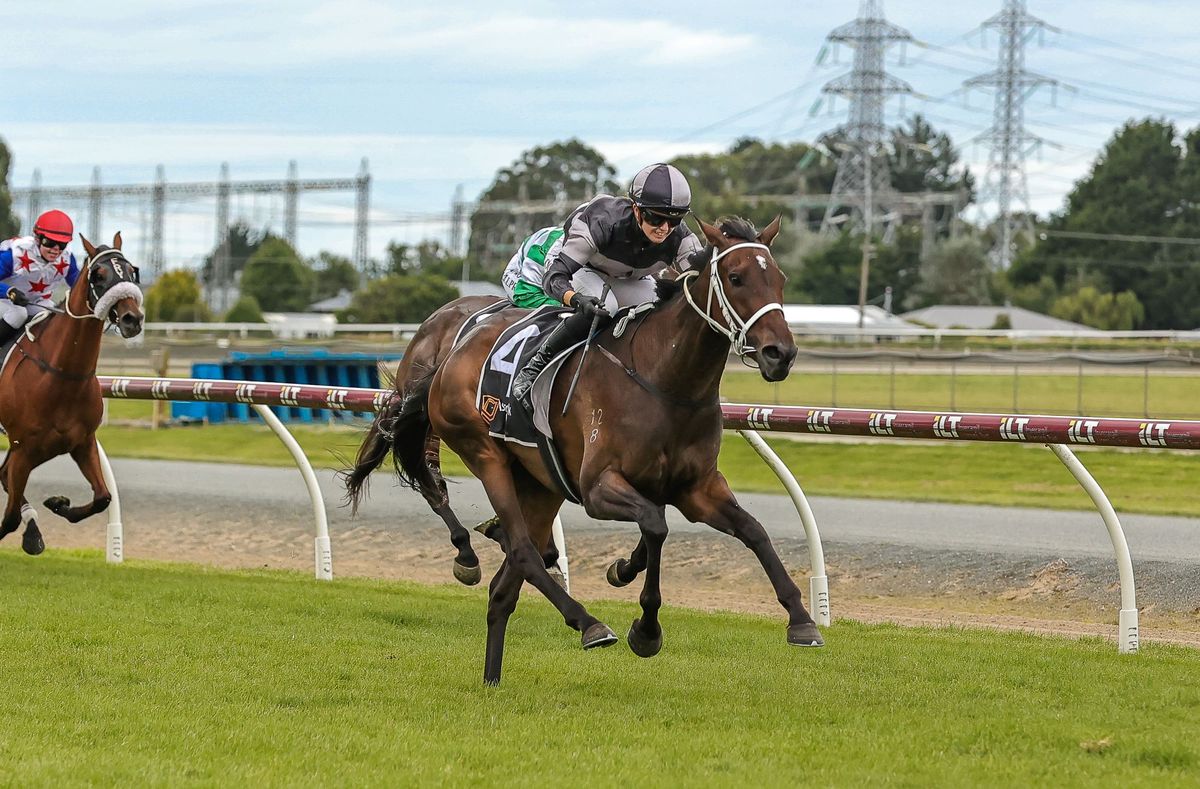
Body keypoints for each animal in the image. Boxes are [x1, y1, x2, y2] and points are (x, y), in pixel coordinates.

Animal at [0, 233, 144, 553]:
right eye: (98, 275)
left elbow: (103, 497)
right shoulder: (23, 449)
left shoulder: (82, 442)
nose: (132, 319)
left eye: (132, 271)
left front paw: (58, 503)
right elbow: (10, 517)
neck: (62, 375)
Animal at [348, 214, 825, 681]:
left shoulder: (697, 488)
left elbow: (753, 531)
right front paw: (646, 630)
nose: (780, 353)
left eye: (779, 278)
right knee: (519, 548)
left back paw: (493, 678)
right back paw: (587, 622)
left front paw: (802, 620)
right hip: (485, 455)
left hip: (541, 482)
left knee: (507, 583)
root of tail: (450, 357)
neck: (665, 382)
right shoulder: (597, 488)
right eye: (735, 277)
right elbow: (655, 526)